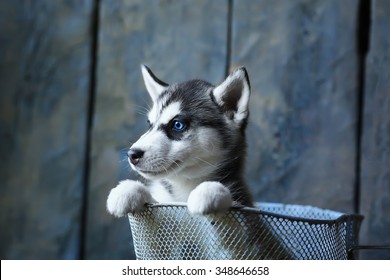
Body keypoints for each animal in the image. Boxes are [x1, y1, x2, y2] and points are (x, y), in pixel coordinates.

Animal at [106, 65, 253, 217]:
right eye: (150, 124)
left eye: (178, 125)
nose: (132, 154)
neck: (184, 184)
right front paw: (127, 190)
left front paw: (209, 191)